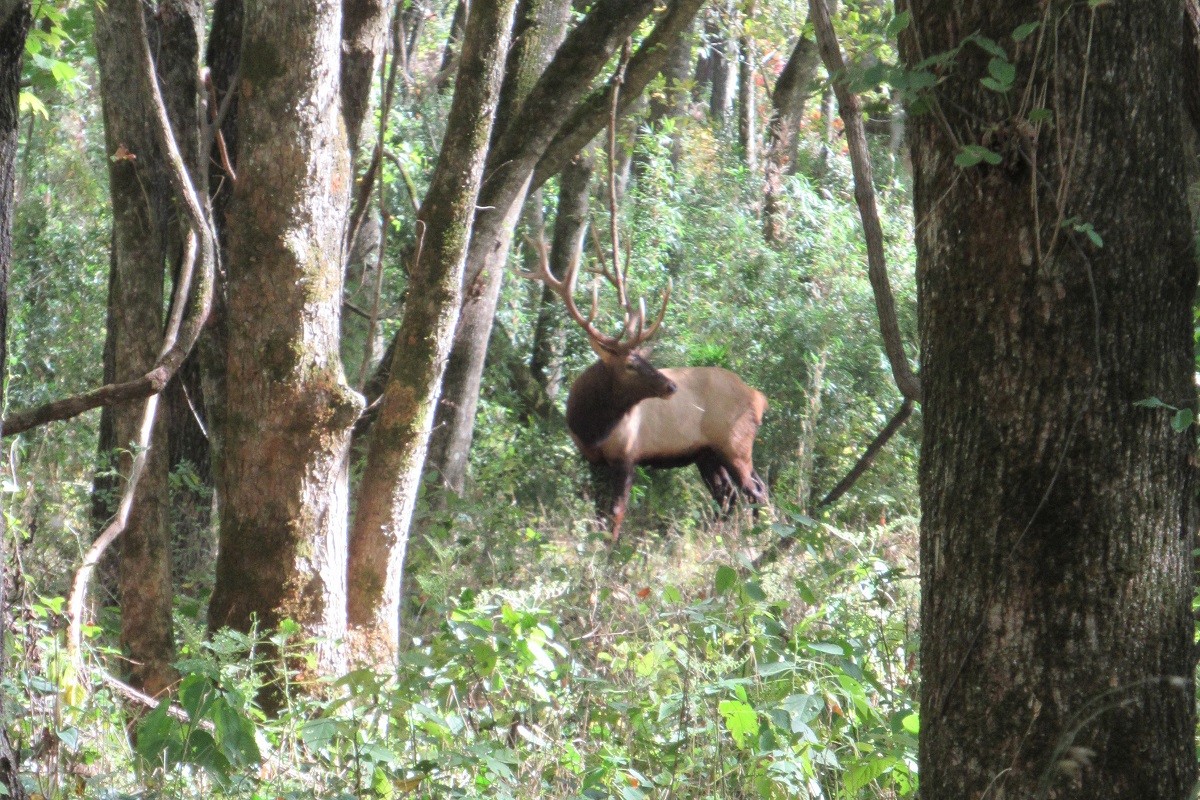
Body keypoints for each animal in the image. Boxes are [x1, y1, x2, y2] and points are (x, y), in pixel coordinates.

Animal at [519, 237, 768, 540]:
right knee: (727, 494)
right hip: (707, 453)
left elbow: (616, 512)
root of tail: (759, 397)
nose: (670, 385)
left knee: (756, 491)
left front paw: (609, 551)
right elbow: (598, 512)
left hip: (735, 442)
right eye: (630, 364)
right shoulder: (593, 460)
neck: (592, 427)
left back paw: (762, 538)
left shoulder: (628, 454)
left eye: (645, 359)